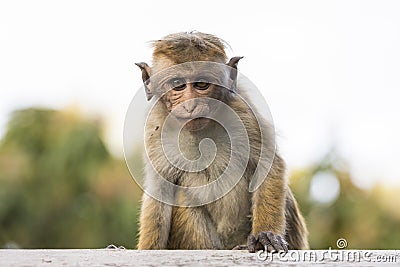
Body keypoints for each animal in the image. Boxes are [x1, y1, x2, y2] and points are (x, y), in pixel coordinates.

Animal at [135, 31, 310, 253]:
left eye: (202, 84)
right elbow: (160, 189)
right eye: (178, 85)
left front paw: (265, 235)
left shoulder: (243, 111)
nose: (191, 106)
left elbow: (268, 165)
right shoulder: (154, 127)